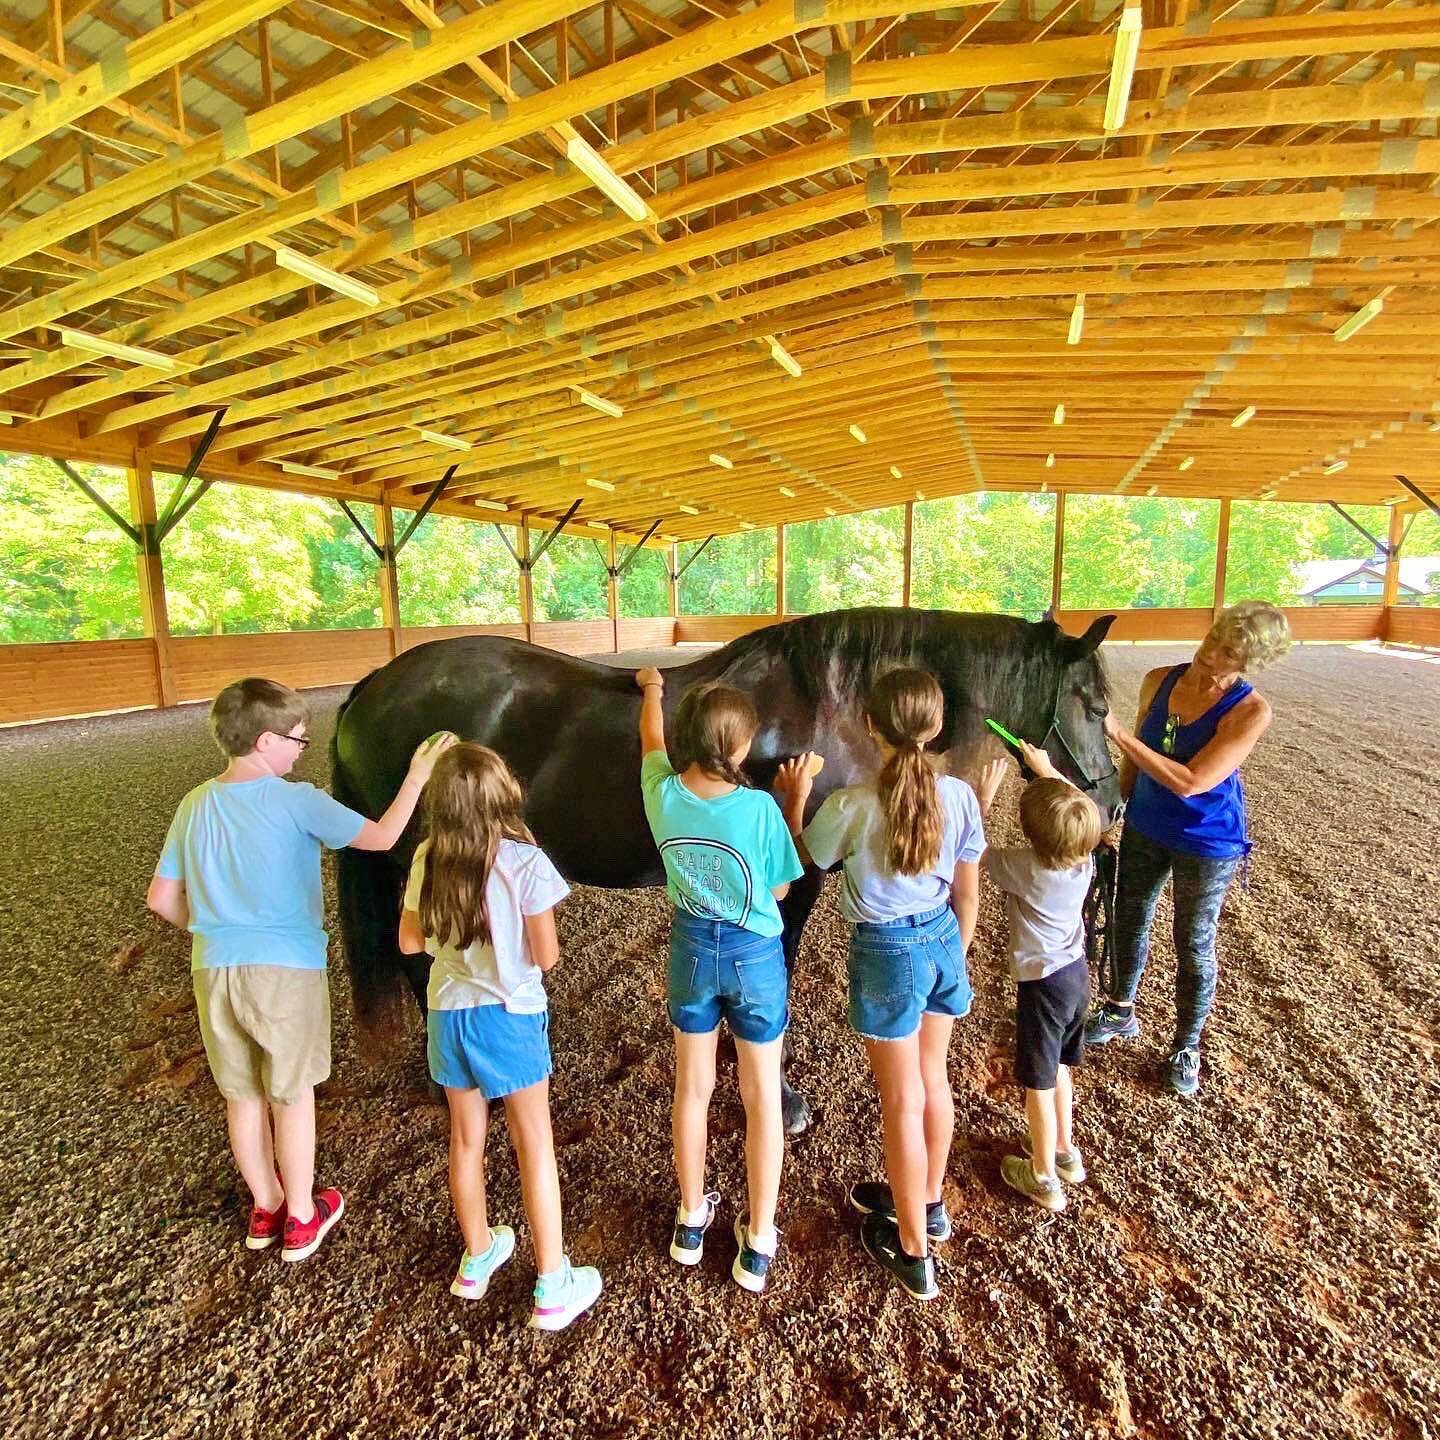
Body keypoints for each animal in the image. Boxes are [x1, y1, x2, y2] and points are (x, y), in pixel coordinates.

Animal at [331, 601, 1117, 1128]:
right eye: (1095, 704)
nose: (1108, 808)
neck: (832, 706)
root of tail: (374, 684)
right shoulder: (793, 879)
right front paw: (777, 1094)